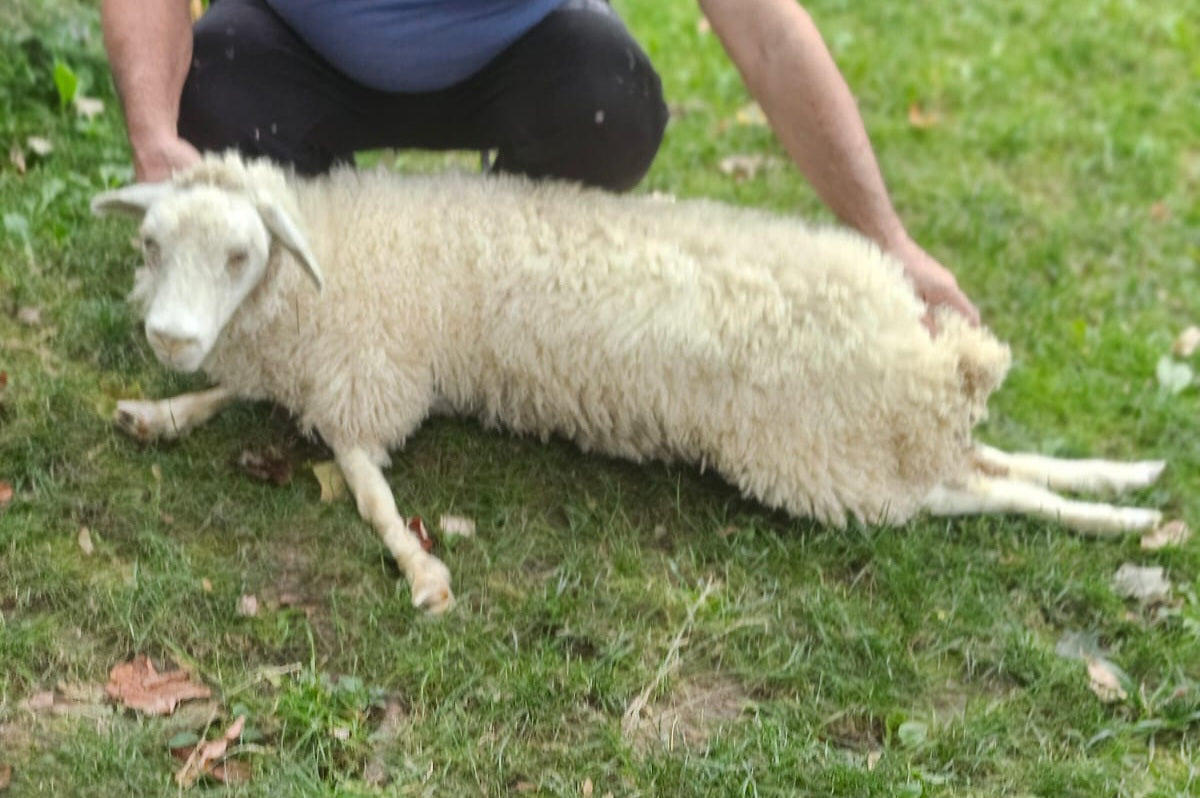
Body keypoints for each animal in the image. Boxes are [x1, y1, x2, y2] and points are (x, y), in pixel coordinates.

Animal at [91, 152, 1168, 614]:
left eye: (240, 254)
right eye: (151, 245)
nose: (172, 337)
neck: (334, 259)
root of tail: (930, 360)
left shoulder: (372, 379)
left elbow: (368, 493)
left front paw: (421, 571)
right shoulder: (327, 369)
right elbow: (247, 398)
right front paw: (163, 410)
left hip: (827, 462)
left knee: (977, 491)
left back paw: (1120, 518)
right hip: (863, 445)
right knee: (988, 462)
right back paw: (1133, 489)